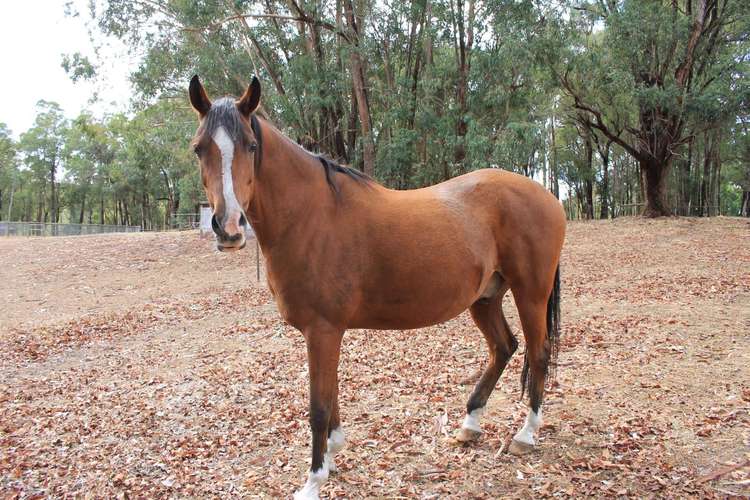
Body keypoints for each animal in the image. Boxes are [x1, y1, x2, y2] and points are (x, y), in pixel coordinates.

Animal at [191, 76, 568, 498]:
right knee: (504, 347)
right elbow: (331, 394)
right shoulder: (325, 334)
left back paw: (526, 434)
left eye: (251, 146)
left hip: (530, 293)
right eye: (199, 148)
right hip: (485, 298)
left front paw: (313, 479)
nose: (228, 228)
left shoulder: (322, 331)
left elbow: (319, 406)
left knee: (539, 353)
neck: (312, 216)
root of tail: (548, 196)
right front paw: (333, 454)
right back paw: (470, 425)